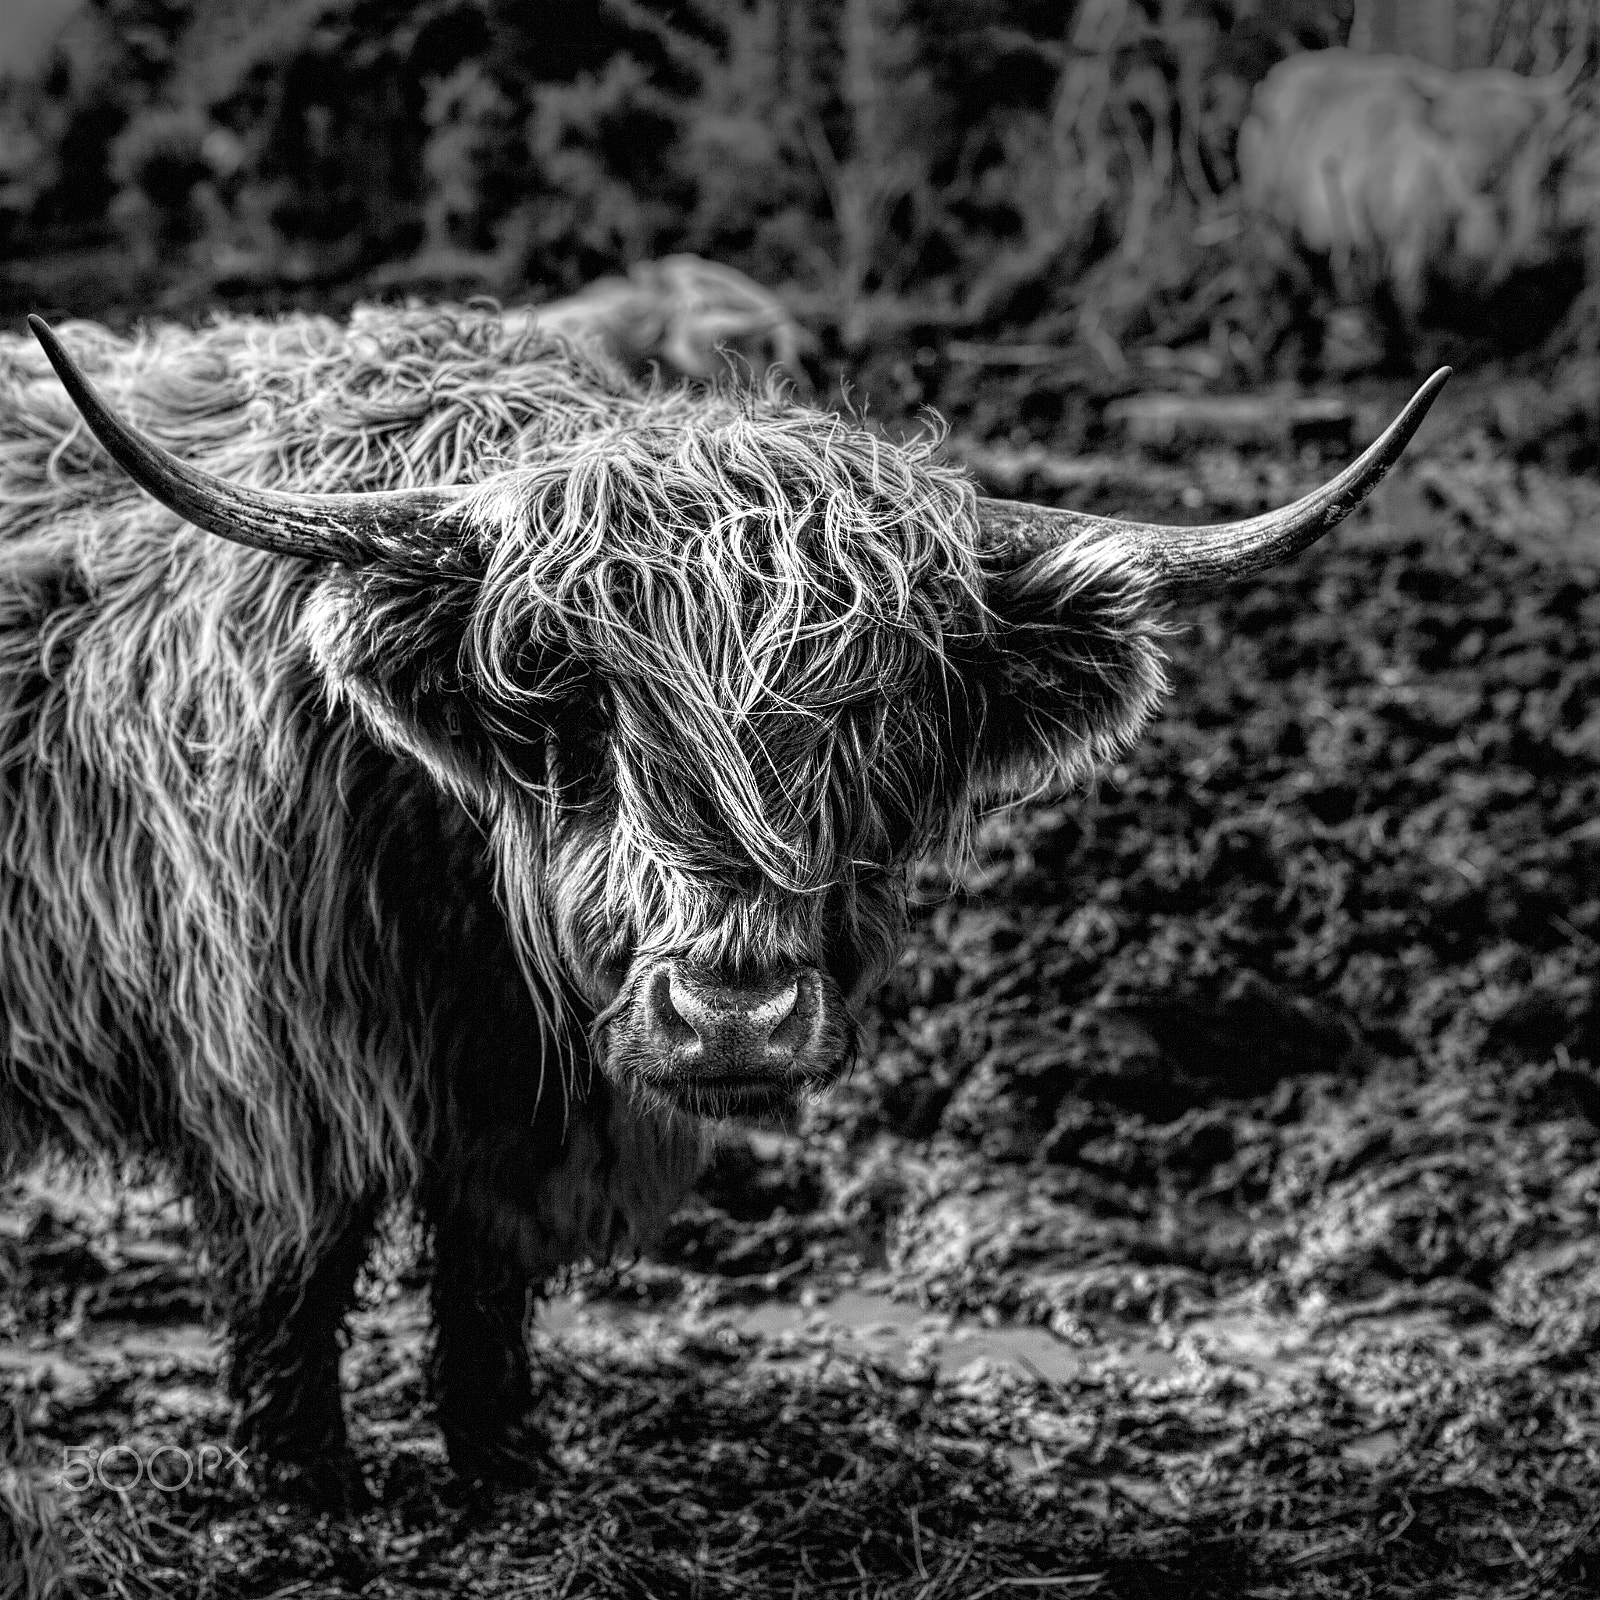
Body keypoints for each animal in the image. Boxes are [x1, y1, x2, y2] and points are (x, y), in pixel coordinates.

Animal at [0, 303, 1446, 1499]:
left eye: (886, 723)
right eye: (573, 705)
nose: (734, 1018)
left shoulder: (517, 1123)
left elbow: (484, 1277)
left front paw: (508, 1466)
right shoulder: (278, 1080)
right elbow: (299, 1283)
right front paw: (315, 1493)